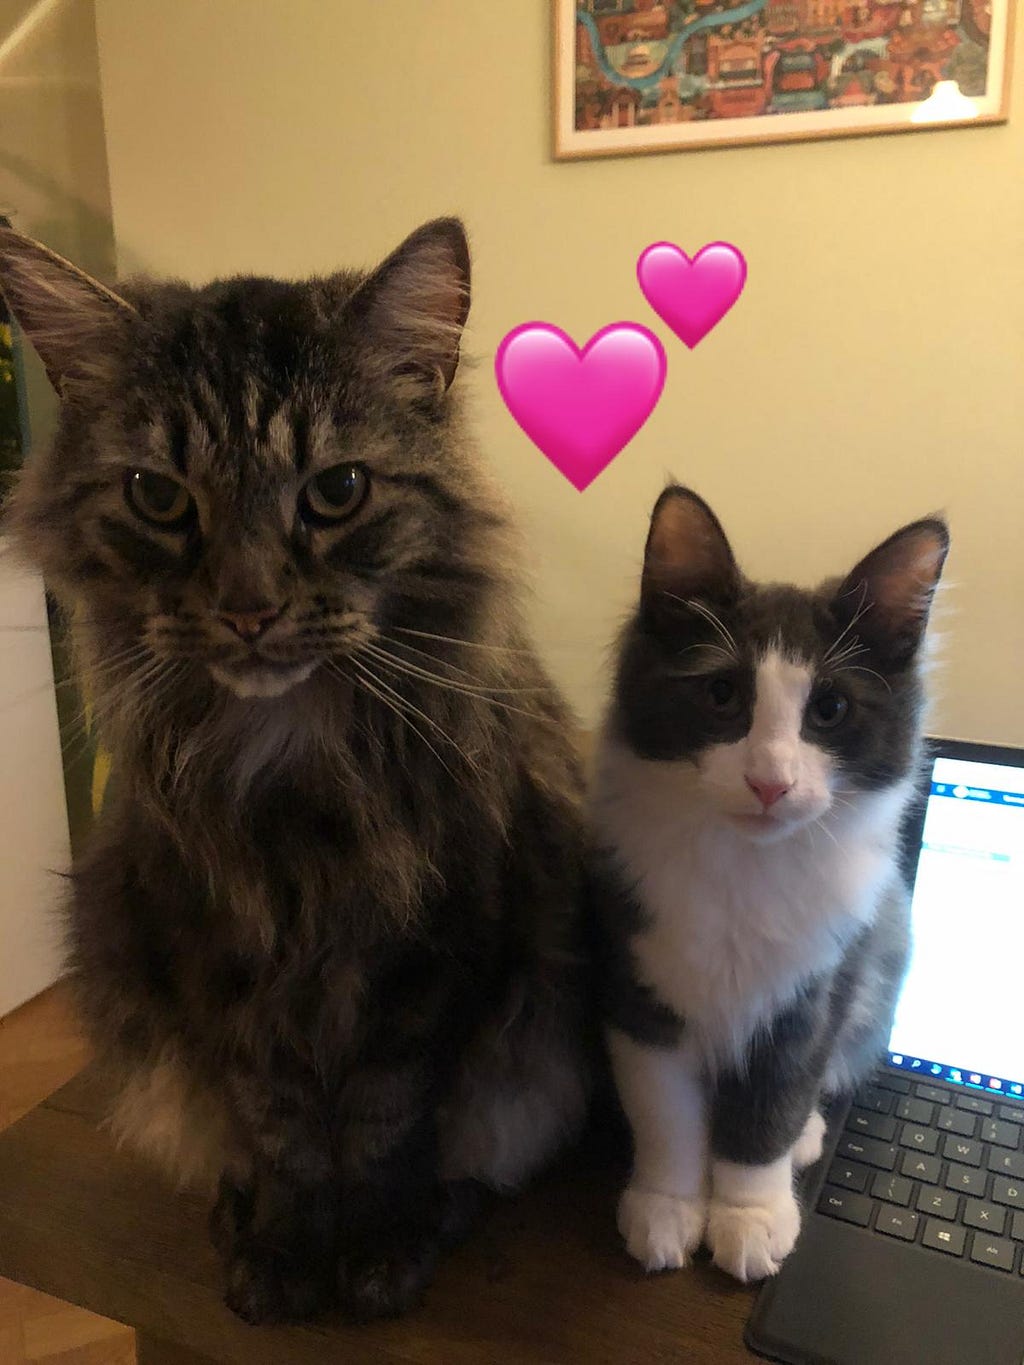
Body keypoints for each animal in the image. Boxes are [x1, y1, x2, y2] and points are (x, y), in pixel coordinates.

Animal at [0, 221, 589, 1321]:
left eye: (337, 491)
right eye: (158, 496)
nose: (248, 608)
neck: (287, 761)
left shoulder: (430, 957)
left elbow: (389, 1126)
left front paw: (379, 1251)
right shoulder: (217, 959)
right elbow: (278, 1133)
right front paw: (284, 1250)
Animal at [589, 494, 950, 1288]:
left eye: (830, 710)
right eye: (724, 695)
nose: (770, 782)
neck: (747, 872)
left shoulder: (814, 996)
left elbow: (770, 1113)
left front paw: (750, 1216)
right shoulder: (643, 990)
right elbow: (666, 1114)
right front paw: (668, 1205)